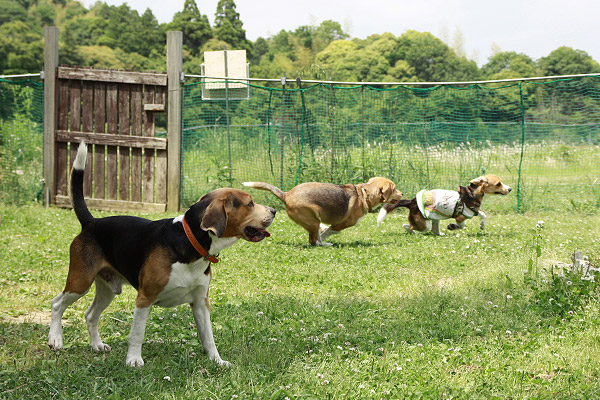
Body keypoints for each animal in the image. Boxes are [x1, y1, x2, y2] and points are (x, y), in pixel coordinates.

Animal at [48, 142, 276, 368]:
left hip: (108, 289)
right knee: (57, 304)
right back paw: (55, 339)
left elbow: (209, 337)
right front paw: (133, 359)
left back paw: (96, 345)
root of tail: (91, 222)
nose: (274, 210)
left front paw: (217, 361)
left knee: (90, 315)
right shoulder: (144, 298)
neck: (190, 244)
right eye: (250, 203)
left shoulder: (201, 302)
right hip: (80, 282)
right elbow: (137, 333)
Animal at [243, 179, 404, 247]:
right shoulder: (340, 225)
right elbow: (330, 231)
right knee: (314, 241)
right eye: (395, 188)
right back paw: (325, 244)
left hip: (314, 220)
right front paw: (326, 236)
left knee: (315, 236)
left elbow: (324, 230)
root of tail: (286, 195)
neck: (364, 193)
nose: (402, 193)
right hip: (313, 220)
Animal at [376, 174, 510, 236]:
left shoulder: (473, 211)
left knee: (434, 231)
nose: (510, 189)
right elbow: (461, 225)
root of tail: (412, 202)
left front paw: (482, 225)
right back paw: (413, 232)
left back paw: (440, 234)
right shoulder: (460, 216)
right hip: (424, 224)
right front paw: (452, 226)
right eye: (498, 184)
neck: (471, 193)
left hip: (435, 218)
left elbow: (483, 215)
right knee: (408, 226)